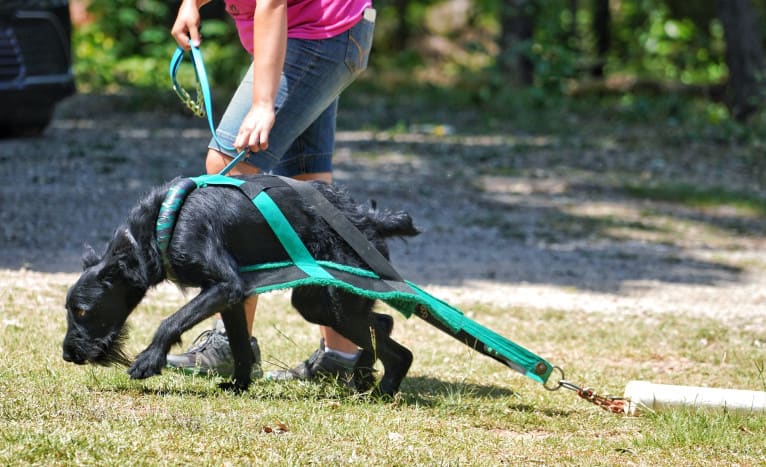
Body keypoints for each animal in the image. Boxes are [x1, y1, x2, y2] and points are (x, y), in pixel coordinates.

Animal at [62, 175, 420, 394]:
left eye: (82, 311)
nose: (67, 354)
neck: (158, 226)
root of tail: (369, 219)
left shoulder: (225, 285)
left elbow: (171, 321)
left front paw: (149, 359)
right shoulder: (231, 297)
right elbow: (240, 345)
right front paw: (239, 384)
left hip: (338, 304)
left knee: (400, 352)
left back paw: (383, 390)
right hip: (323, 303)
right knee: (382, 323)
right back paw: (363, 373)